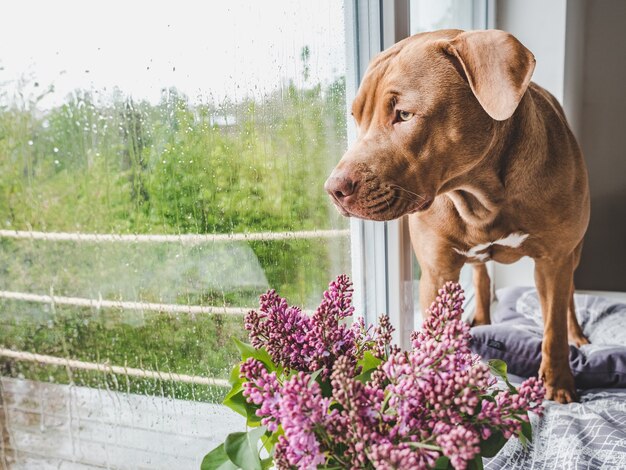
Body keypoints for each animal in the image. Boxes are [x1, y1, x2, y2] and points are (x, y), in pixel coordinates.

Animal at [324, 30, 588, 404]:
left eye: (403, 114)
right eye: (356, 117)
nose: (333, 188)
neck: (483, 194)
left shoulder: (554, 261)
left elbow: (553, 326)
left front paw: (559, 381)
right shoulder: (437, 272)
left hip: (572, 254)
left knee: (568, 300)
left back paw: (577, 334)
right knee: (481, 274)